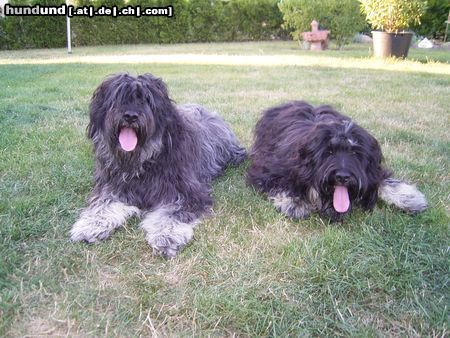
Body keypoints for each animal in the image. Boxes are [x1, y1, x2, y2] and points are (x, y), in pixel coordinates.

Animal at [71, 72, 246, 258]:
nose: (131, 116)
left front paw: (166, 236)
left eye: (147, 100)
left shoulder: (187, 193)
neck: (143, 161)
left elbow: (171, 215)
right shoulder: (112, 185)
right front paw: (90, 225)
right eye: (118, 97)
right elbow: (103, 205)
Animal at [248, 101, 428, 222]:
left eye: (355, 153)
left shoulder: (373, 171)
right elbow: (278, 183)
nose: (342, 176)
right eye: (329, 152)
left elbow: (382, 180)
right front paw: (294, 202)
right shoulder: (268, 169)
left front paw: (409, 198)